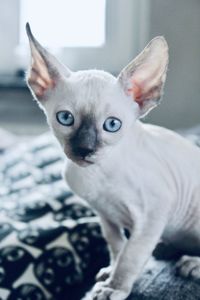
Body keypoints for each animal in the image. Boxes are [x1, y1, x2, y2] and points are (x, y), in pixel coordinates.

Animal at [25, 24, 200, 300]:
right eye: (65, 118)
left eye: (112, 125)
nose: (85, 149)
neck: (98, 176)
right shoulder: (105, 215)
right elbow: (117, 247)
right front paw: (110, 273)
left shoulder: (152, 215)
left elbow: (131, 255)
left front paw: (114, 288)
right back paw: (165, 248)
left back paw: (191, 263)